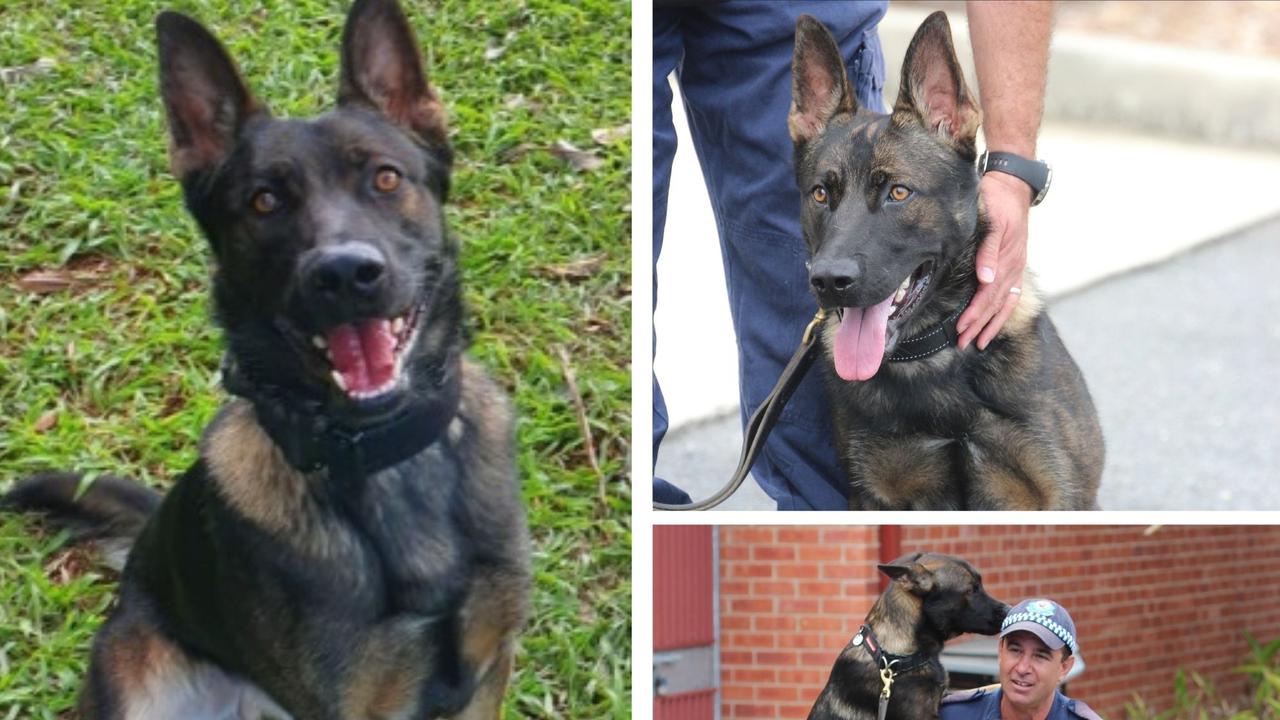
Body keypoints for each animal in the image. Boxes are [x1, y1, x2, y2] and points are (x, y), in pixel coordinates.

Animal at [783, 8, 1105, 507]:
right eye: (821, 194)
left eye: (898, 192)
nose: (829, 281)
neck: (932, 361)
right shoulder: (876, 494)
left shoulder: (1058, 497)